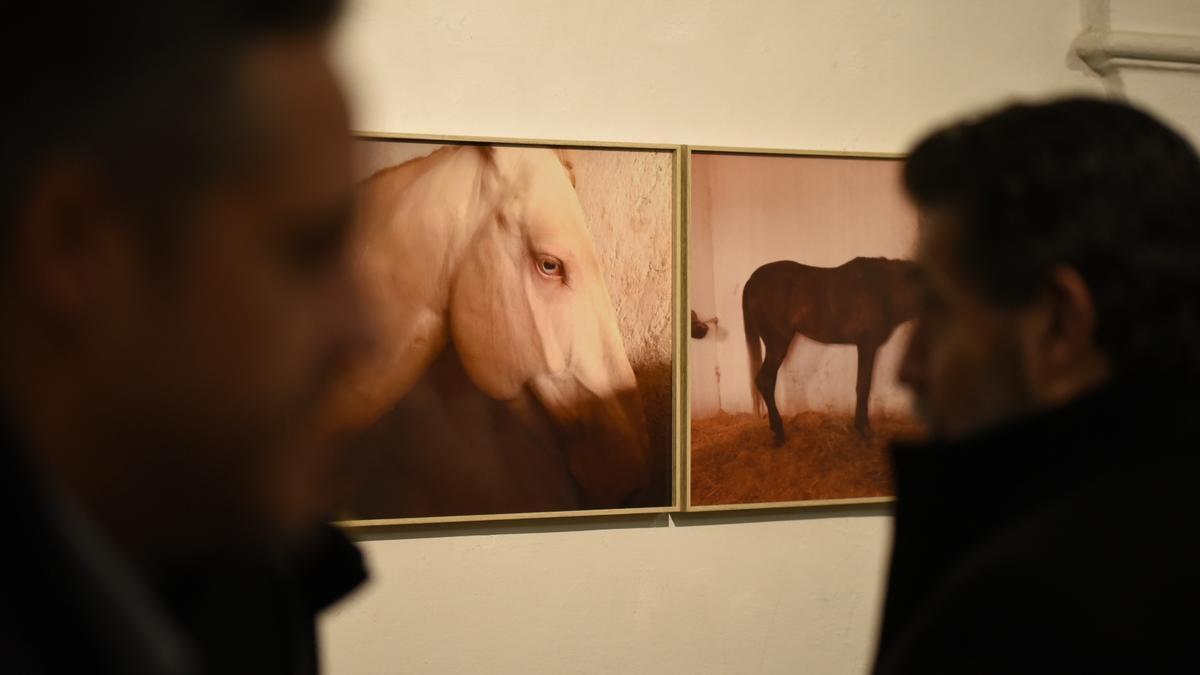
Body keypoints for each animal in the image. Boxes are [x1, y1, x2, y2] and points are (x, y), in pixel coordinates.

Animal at [739, 254, 916, 444]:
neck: (883, 289)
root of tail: (752, 281)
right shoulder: (867, 345)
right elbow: (863, 386)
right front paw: (864, 431)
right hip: (777, 344)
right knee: (765, 380)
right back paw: (779, 433)